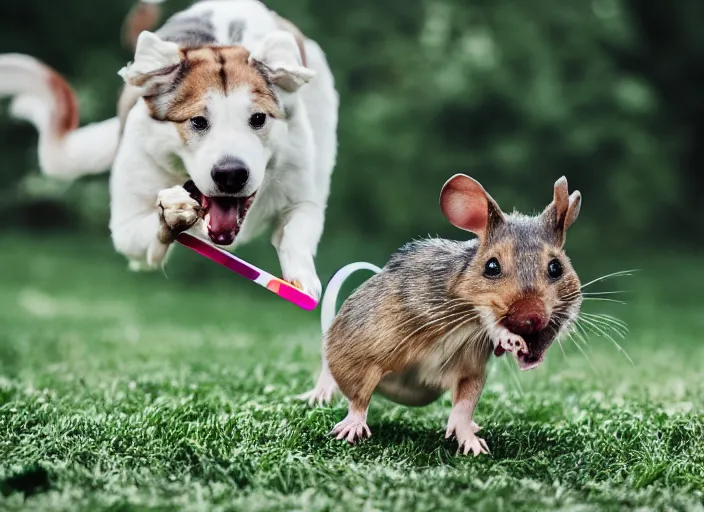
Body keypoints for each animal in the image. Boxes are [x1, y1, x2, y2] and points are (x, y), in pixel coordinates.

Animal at [0, 0, 338, 298]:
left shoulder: (300, 192)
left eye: (258, 119)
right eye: (198, 121)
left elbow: (297, 228)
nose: (231, 174)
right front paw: (172, 214)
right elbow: (144, 229)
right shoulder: (128, 218)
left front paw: (304, 281)